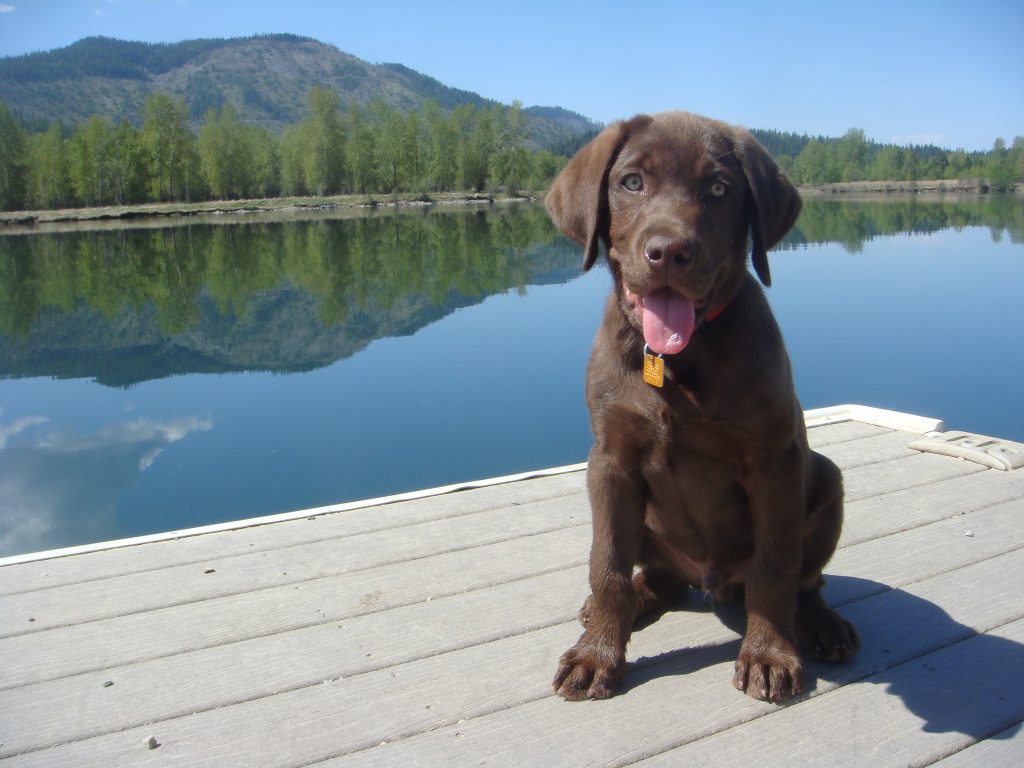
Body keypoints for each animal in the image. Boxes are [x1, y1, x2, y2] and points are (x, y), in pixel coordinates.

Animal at [548, 111, 860, 708]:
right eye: (631, 182)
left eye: (719, 189)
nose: (669, 251)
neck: (676, 358)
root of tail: (709, 580)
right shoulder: (610, 460)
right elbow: (607, 563)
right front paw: (598, 654)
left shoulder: (773, 461)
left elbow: (775, 568)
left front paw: (768, 654)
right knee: (656, 578)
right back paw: (621, 606)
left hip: (824, 479)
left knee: (807, 580)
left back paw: (820, 625)